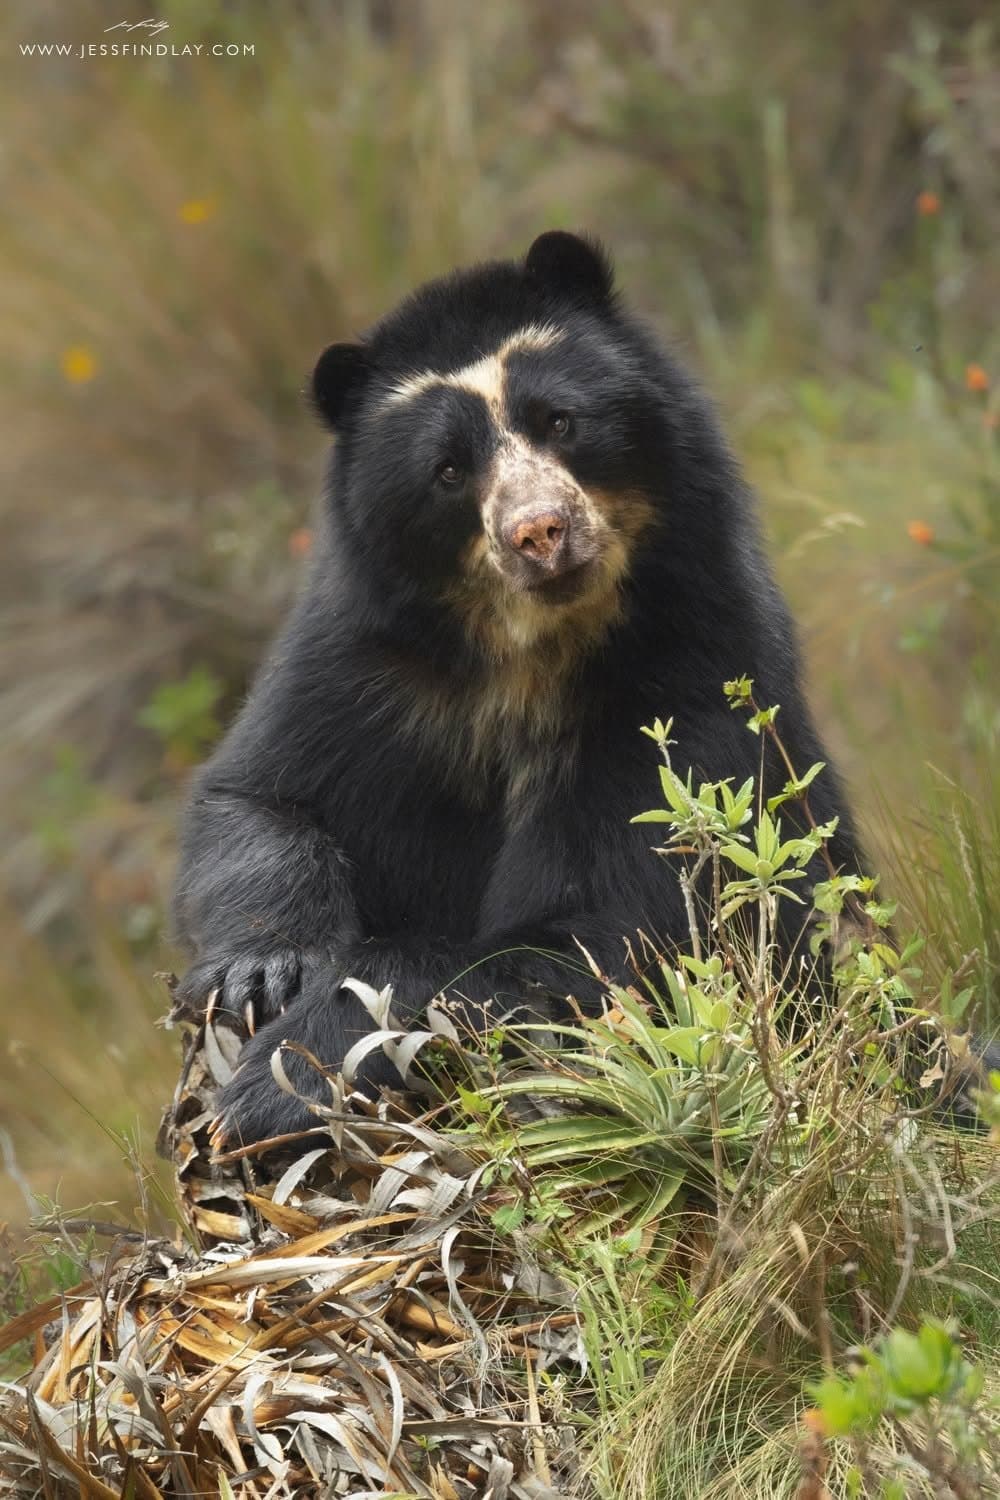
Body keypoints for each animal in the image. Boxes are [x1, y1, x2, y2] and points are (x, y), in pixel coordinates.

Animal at [173, 231, 861, 1148]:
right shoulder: (363, 668)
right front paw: (260, 973)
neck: (523, 650)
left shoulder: (682, 676)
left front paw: (278, 1081)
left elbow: (605, 926)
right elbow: (262, 796)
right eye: (447, 470)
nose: (540, 532)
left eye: (560, 421)